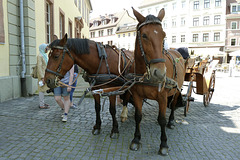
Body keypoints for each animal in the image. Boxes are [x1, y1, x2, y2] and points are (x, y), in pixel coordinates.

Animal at [129, 8, 188, 156]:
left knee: (173, 104)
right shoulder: (137, 96)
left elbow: (162, 119)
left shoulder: (162, 97)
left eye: (164, 35)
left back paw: (171, 121)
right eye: (144, 35)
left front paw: (163, 144)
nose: (160, 73)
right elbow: (138, 116)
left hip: (176, 90)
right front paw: (136, 139)